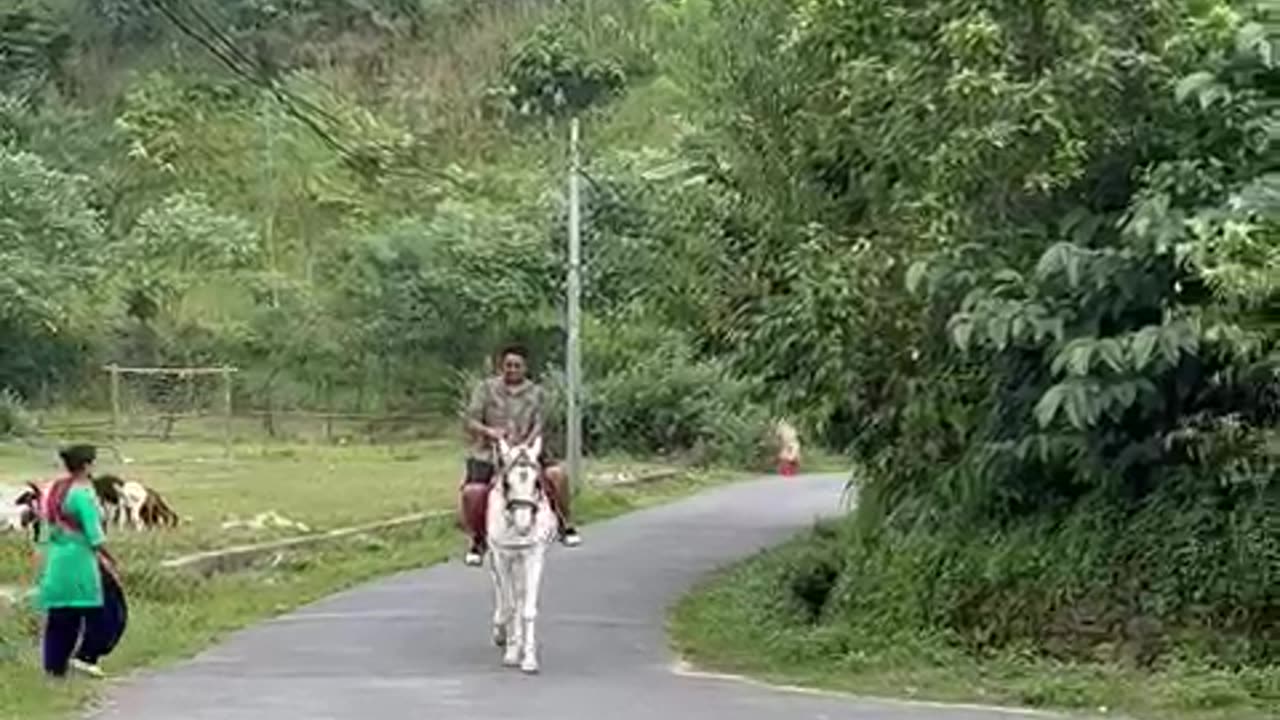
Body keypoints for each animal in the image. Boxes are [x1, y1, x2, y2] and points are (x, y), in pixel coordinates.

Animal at [483, 430, 555, 671]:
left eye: (537, 482)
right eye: (507, 483)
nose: (523, 525)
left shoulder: (533, 555)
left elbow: (527, 607)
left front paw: (529, 658)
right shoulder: (503, 556)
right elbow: (511, 605)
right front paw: (512, 654)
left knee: (520, 592)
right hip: (496, 556)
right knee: (501, 590)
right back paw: (501, 631)